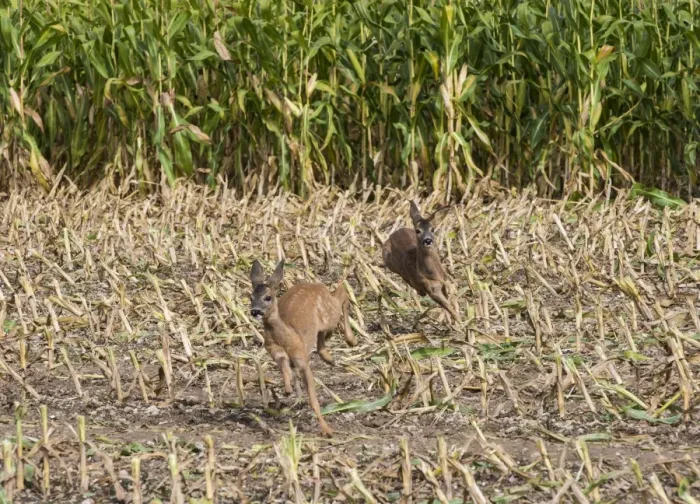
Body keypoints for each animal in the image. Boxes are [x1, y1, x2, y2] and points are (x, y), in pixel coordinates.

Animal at [249, 259, 357, 436]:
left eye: (268, 297)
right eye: (251, 297)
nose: (255, 311)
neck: (287, 336)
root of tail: (317, 285)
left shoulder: (301, 360)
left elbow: (313, 399)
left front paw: (327, 430)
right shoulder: (276, 353)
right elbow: (285, 371)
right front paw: (288, 390)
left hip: (329, 314)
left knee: (342, 294)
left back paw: (351, 340)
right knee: (321, 335)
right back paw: (330, 358)